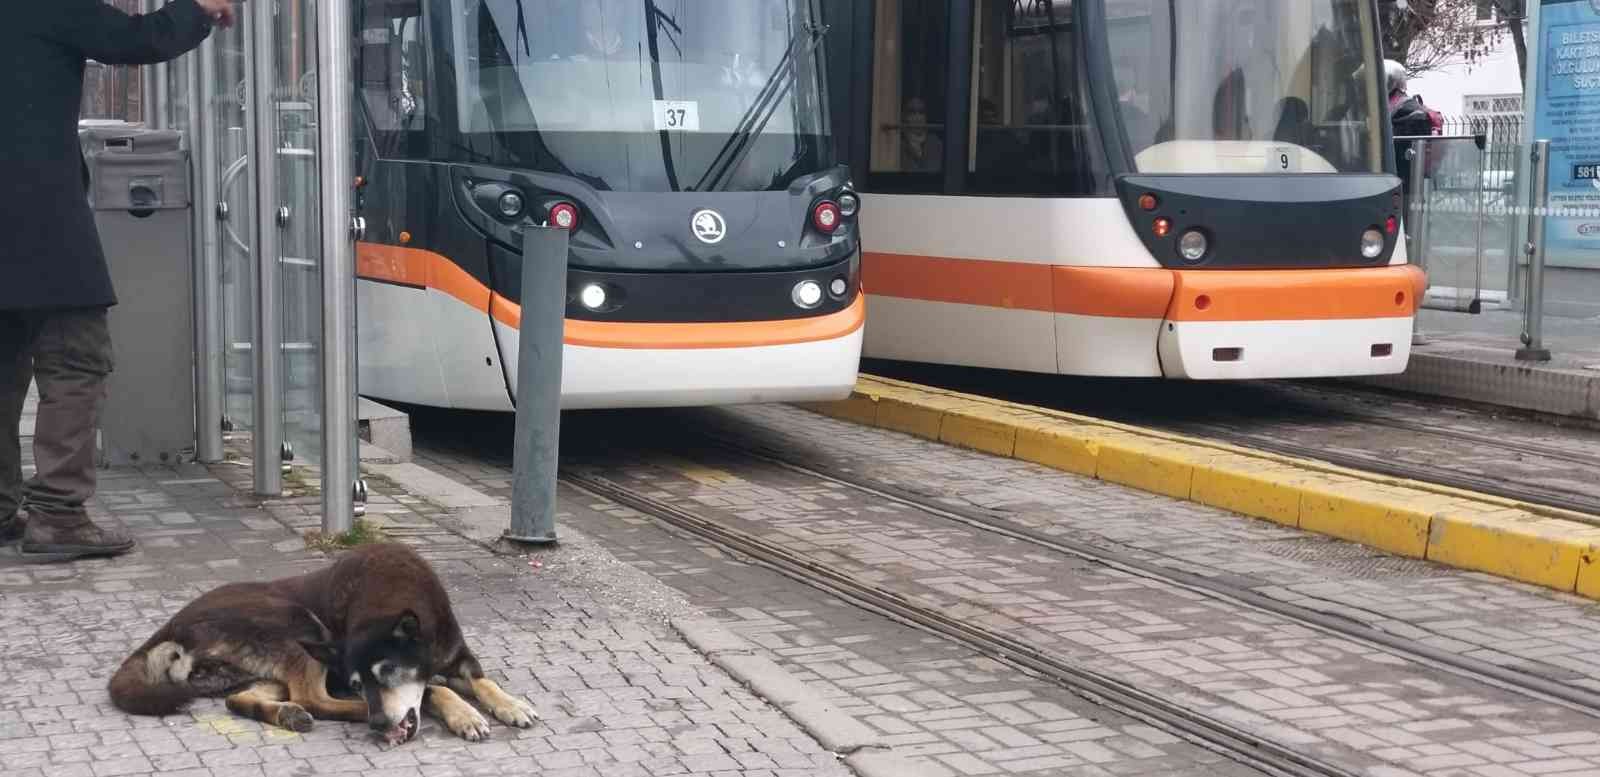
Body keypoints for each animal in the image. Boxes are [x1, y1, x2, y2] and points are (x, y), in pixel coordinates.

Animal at [109, 543, 544, 745]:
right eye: (356, 683)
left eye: (387, 671)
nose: (378, 724)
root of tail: (172, 624)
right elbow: (433, 689)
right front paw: (463, 714)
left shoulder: (456, 655)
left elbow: (482, 680)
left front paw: (510, 704)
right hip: (298, 624)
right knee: (314, 698)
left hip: (254, 669)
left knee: (240, 699)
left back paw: (286, 714)